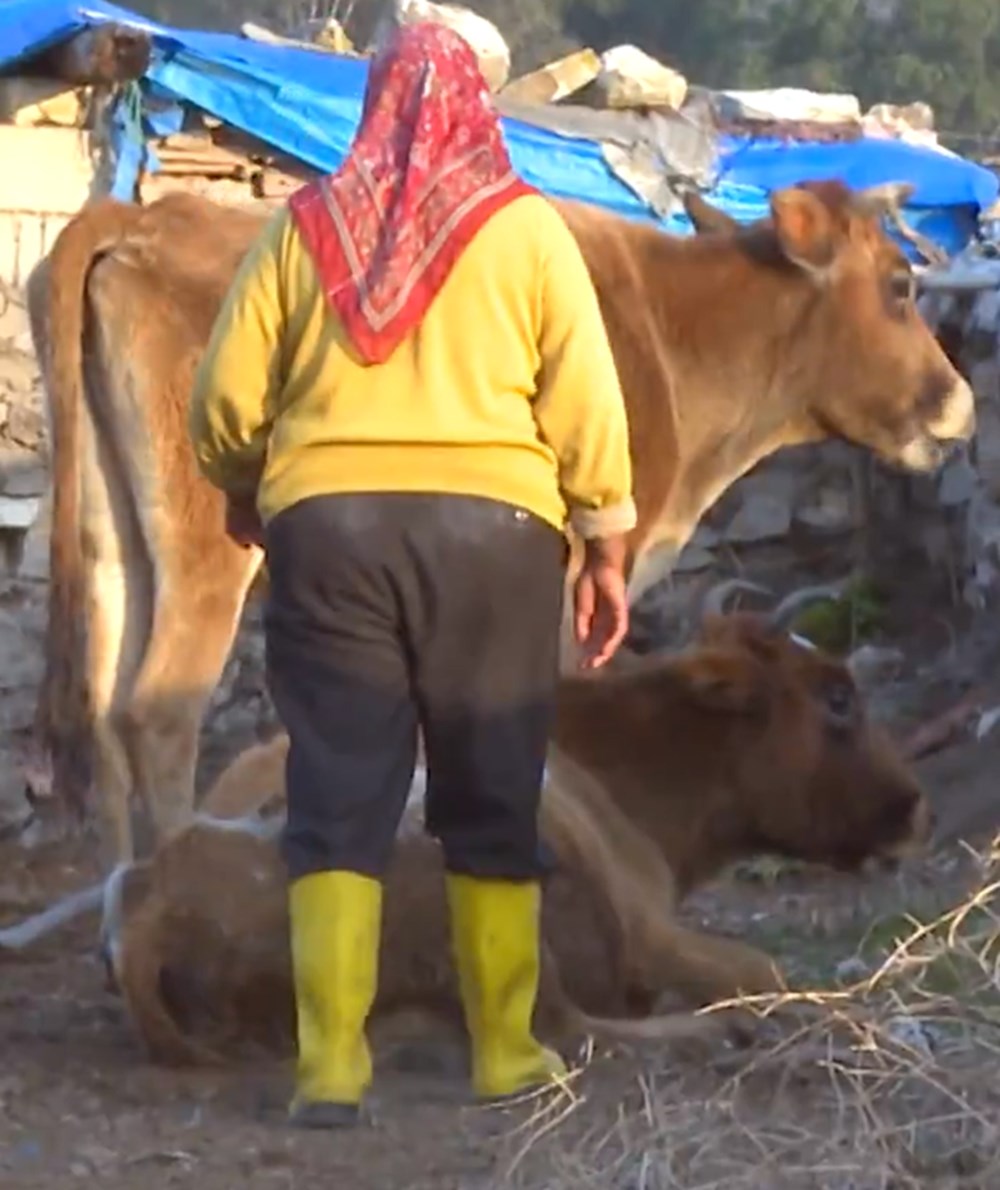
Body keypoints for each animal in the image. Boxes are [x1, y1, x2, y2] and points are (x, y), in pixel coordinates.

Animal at [27, 178, 971, 866]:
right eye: (900, 286)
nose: (961, 401)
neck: (677, 333)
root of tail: (145, 217)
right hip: (206, 542)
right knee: (156, 711)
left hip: (117, 542)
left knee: (106, 704)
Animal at [76, 604, 928, 1071]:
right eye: (837, 699)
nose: (915, 806)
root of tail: (160, 901)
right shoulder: (651, 934)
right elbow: (760, 966)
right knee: (564, 1028)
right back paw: (718, 1034)